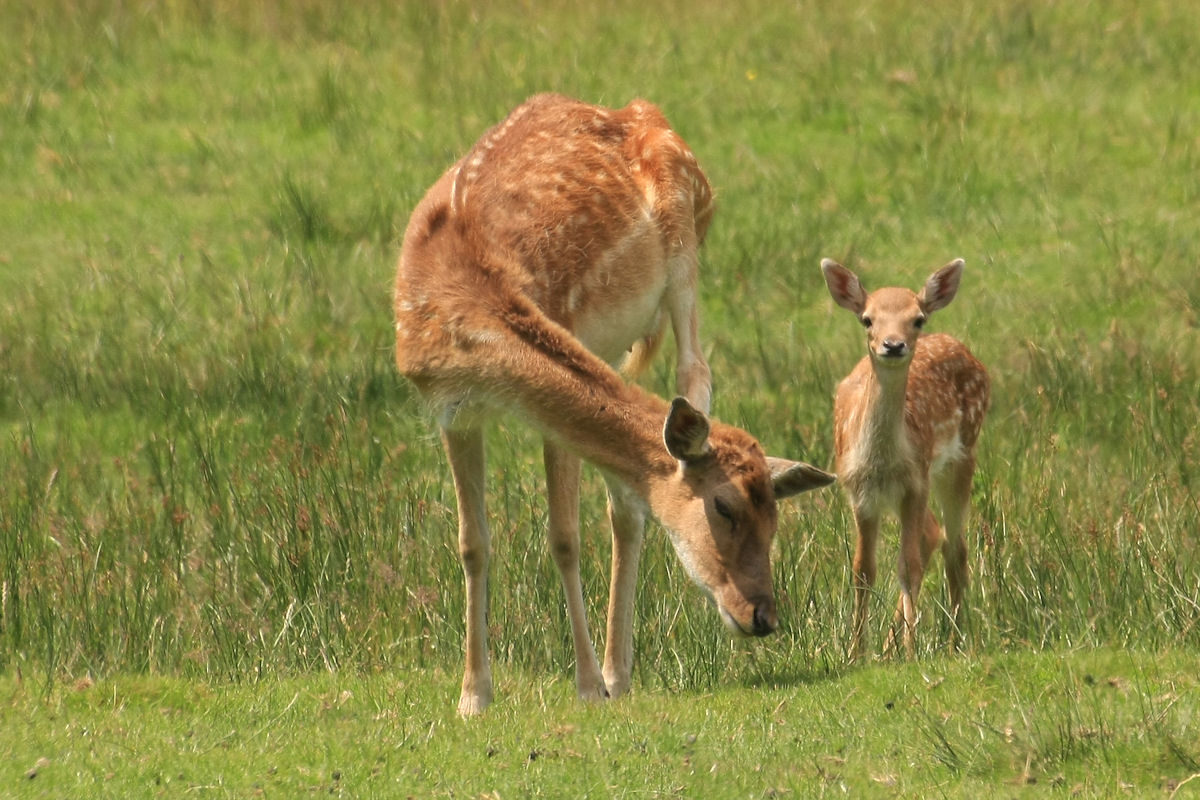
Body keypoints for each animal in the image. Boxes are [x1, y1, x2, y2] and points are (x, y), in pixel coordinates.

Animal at [393, 95, 835, 719]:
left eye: (775, 515)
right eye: (724, 507)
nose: (764, 617)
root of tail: (641, 111)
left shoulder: (554, 394)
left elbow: (563, 537)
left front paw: (585, 686)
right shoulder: (452, 410)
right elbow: (472, 543)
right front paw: (473, 697)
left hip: (685, 254)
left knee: (693, 372)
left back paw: (614, 674)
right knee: (627, 504)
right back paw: (618, 673)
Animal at [820, 260, 988, 662]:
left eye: (917, 319)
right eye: (867, 319)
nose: (893, 344)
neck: (882, 461)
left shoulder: (915, 482)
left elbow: (906, 565)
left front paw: (911, 652)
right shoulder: (859, 492)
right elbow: (863, 570)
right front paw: (856, 653)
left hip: (960, 458)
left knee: (955, 548)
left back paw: (952, 642)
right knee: (934, 534)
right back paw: (888, 646)